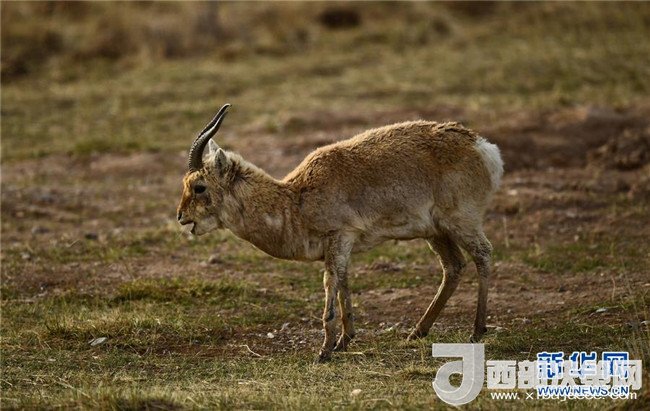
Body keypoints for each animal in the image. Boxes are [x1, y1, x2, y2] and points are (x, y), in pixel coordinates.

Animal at [176, 104, 504, 362]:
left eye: (199, 186)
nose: (181, 217)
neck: (295, 200)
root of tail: (483, 148)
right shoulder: (341, 247)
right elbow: (344, 282)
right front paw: (345, 340)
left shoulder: (338, 236)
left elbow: (330, 284)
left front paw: (324, 350)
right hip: (436, 232)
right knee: (454, 266)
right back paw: (416, 332)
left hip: (461, 221)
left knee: (483, 255)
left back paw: (477, 331)